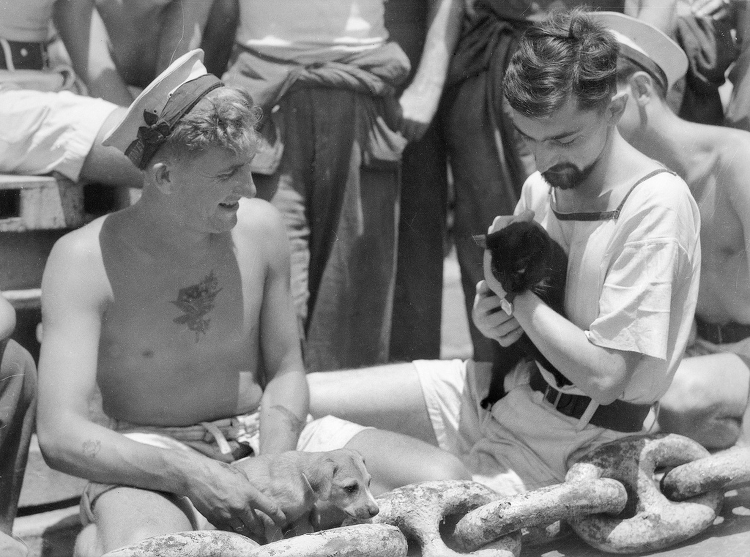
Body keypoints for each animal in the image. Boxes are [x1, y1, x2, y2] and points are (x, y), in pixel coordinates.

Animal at [234, 448, 378, 544]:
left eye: (369, 482)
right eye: (350, 488)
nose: (376, 511)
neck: (301, 479)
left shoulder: (302, 517)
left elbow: (303, 533)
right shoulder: (270, 519)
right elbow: (276, 539)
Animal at [472, 220, 572, 408]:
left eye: (520, 267)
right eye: (498, 271)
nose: (507, 286)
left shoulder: (558, 288)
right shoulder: (522, 335)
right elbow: (541, 354)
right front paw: (560, 374)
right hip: (504, 349)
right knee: (499, 368)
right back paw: (491, 398)